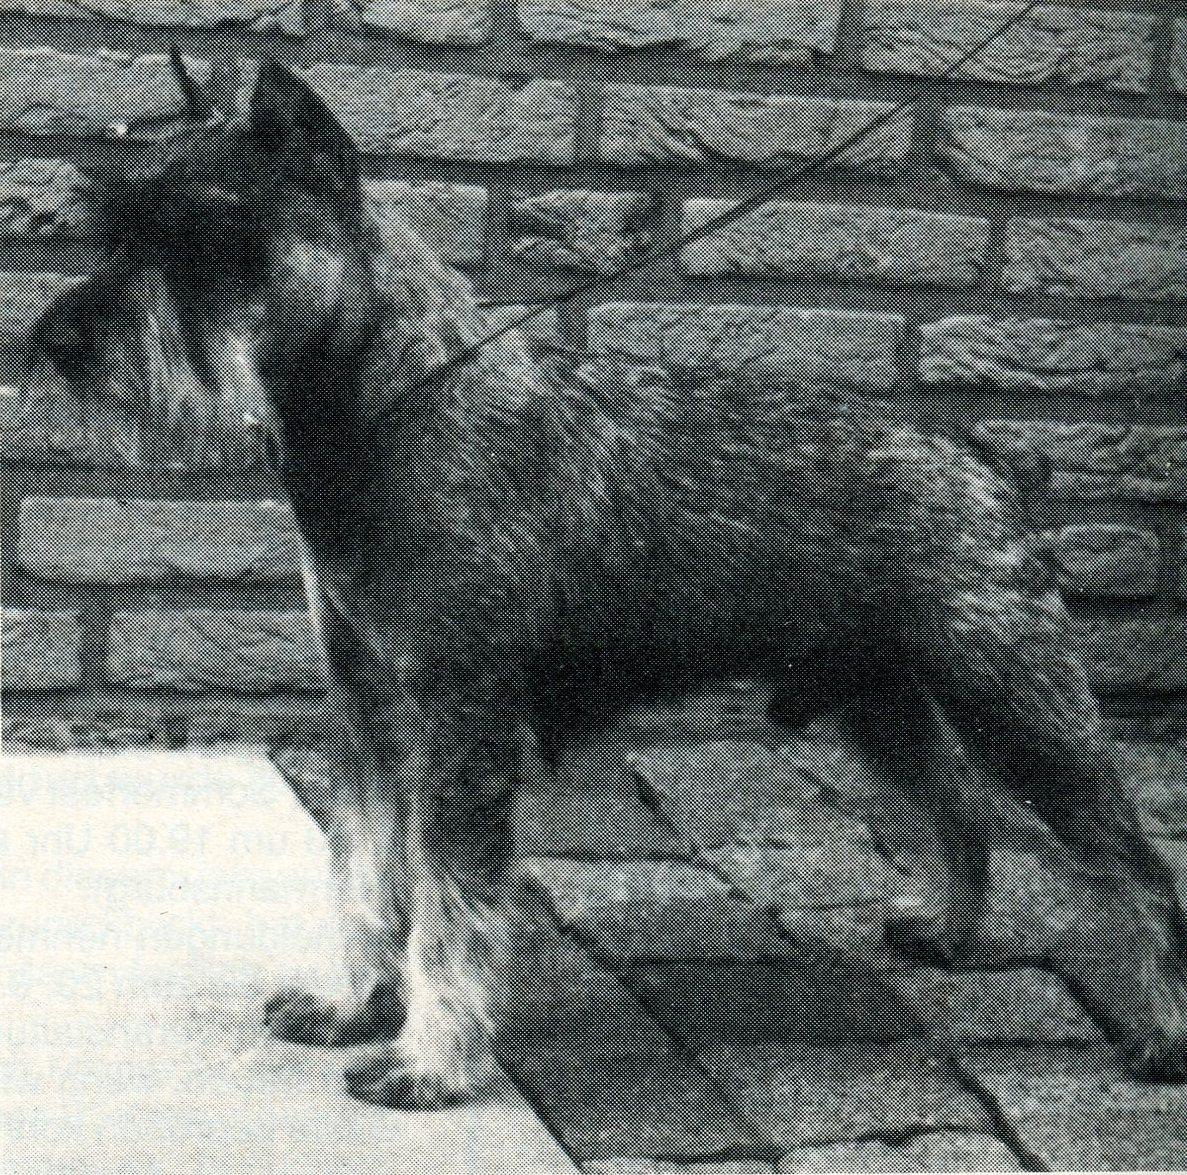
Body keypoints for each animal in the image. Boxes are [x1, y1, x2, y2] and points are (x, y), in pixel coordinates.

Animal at [23, 53, 1187, 1108]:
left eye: (204, 234)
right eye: (116, 228)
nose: (63, 340)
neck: (387, 408)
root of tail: (984, 461)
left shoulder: (461, 723)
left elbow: (447, 903)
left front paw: (430, 1060)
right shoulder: (366, 715)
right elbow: (364, 876)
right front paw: (355, 1004)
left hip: (1018, 706)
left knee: (1135, 866)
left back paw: (1160, 1034)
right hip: (878, 701)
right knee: (958, 805)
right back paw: (946, 928)